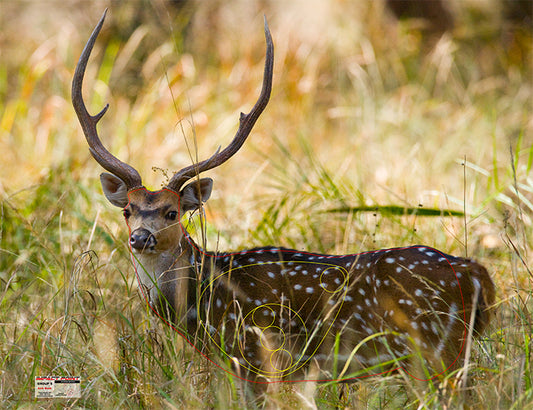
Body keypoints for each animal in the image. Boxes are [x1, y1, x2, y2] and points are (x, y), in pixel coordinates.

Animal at [72, 10, 492, 388]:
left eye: (172, 212)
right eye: (128, 210)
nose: (140, 237)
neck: (204, 309)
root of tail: (478, 275)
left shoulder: (253, 356)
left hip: (434, 349)